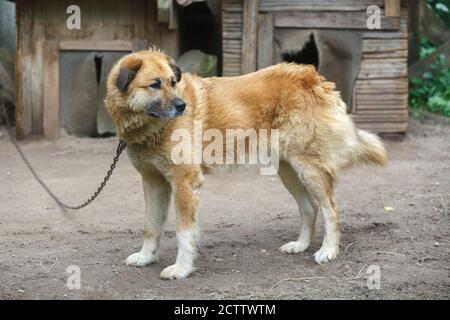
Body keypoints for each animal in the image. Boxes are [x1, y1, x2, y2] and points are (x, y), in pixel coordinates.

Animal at [105, 48, 386, 278]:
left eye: (173, 83)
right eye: (155, 84)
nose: (182, 106)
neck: (151, 128)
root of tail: (312, 75)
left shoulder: (184, 183)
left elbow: (184, 233)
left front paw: (181, 269)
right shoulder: (153, 182)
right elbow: (150, 226)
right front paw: (146, 257)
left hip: (309, 170)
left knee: (331, 209)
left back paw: (328, 251)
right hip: (290, 171)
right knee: (311, 208)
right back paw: (300, 245)